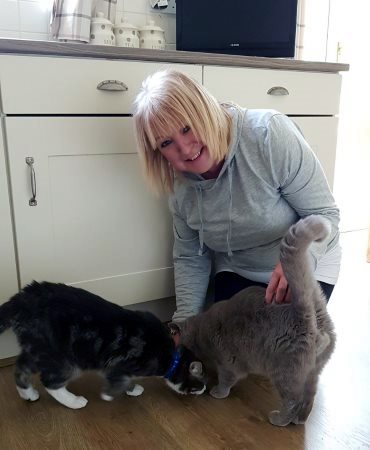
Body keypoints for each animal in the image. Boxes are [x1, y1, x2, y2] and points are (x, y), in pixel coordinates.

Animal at [0, 284, 205, 410]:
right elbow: (119, 379)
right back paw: (74, 401)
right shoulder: (120, 362)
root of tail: (24, 298)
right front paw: (109, 395)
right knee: (50, 382)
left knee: (20, 368)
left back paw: (28, 394)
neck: (170, 354)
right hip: (64, 359)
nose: (204, 390)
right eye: (201, 382)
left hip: (37, 349)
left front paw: (132, 389)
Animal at [175, 216, 336, 428]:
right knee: (310, 396)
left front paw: (218, 392)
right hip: (313, 371)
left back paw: (280, 419)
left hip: (285, 372)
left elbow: (226, 379)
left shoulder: (228, 363)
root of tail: (306, 315)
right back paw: (300, 419)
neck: (202, 329)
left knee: (293, 400)